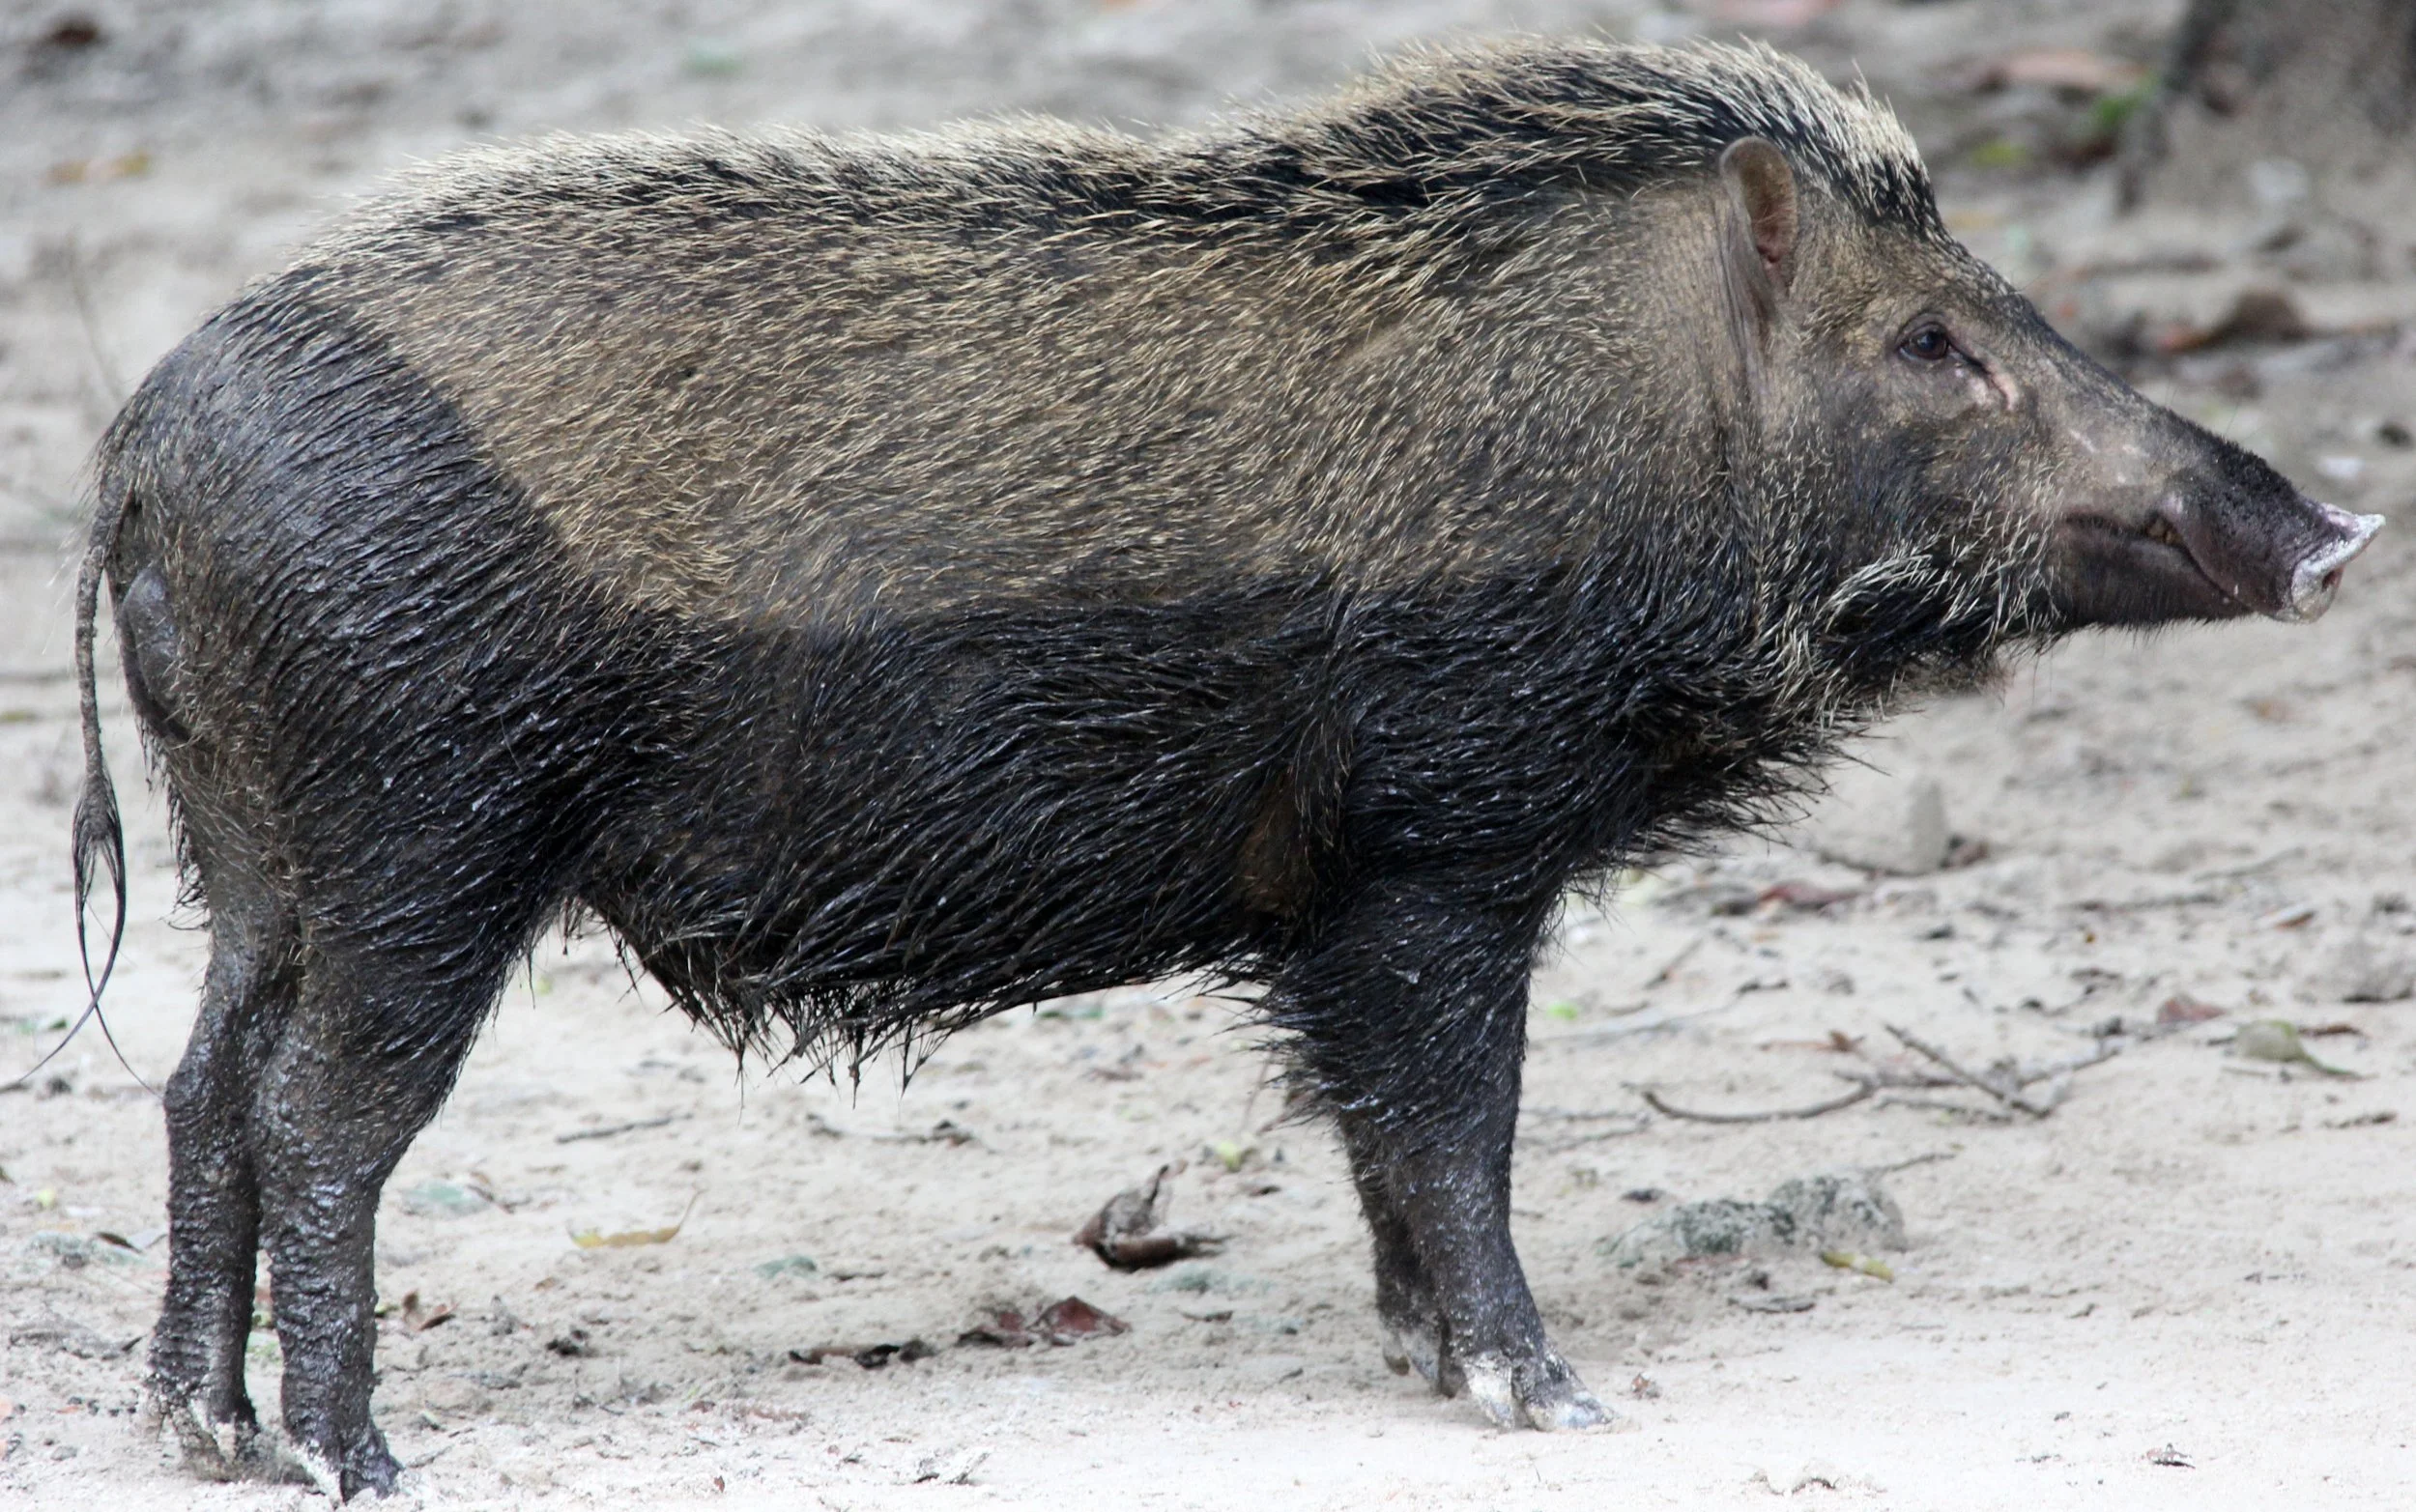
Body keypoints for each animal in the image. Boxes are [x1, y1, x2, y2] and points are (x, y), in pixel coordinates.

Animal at [71, 38, 2377, 1497]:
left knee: (196, 1081)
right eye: (1930, 344)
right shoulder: (1439, 845)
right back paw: (358, 1461)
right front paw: (1551, 1399)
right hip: (418, 830)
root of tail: (141, 442)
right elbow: (1456, 1127)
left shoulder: (1343, 895)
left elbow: (1377, 1136)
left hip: (258, 850)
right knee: (316, 1113)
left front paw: (1416, 1363)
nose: (2337, 532)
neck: (1653, 452)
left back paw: (202, 1434)